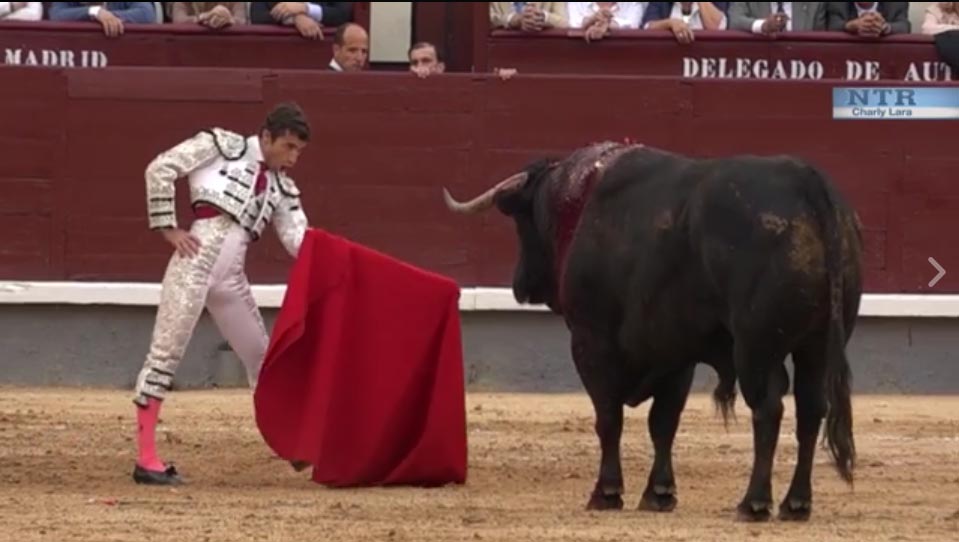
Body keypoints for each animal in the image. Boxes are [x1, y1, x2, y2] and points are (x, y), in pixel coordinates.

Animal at [446, 141, 868, 524]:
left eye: (523, 222)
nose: (520, 285)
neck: (579, 203)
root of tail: (806, 181)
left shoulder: (591, 342)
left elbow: (609, 417)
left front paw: (606, 492)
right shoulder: (675, 355)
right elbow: (663, 423)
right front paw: (659, 493)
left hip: (755, 348)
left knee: (768, 408)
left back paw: (754, 503)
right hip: (816, 347)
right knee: (811, 409)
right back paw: (796, 503)